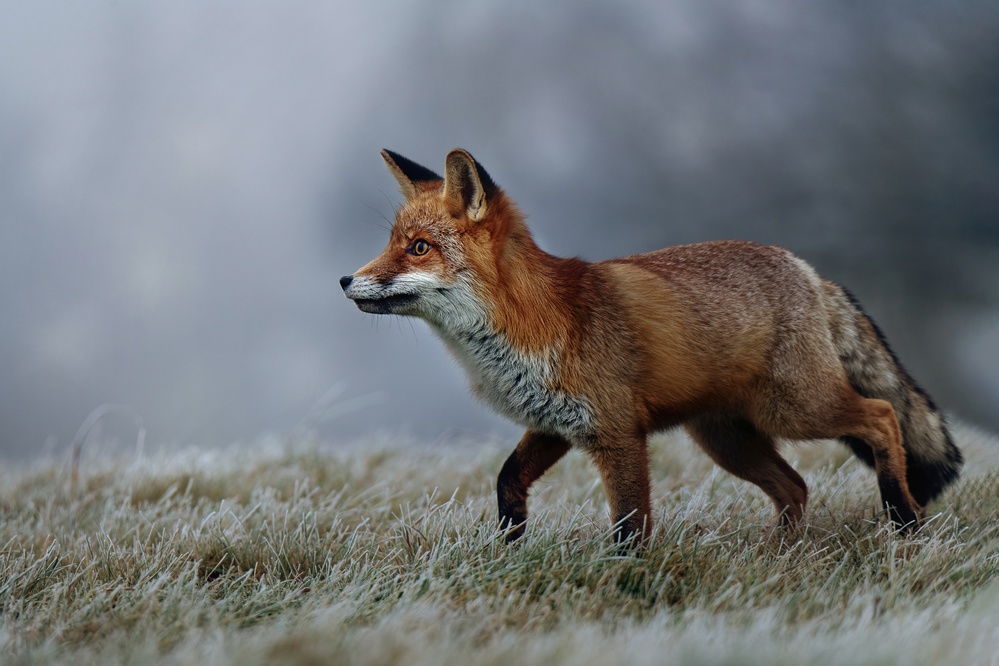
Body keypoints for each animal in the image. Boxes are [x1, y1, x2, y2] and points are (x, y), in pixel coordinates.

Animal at [340, 148, 963, 546]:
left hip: (795, 410)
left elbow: (629, 526)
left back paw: (903, 518)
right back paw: (780, 556)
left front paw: (625, 581)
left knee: (881, 417)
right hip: (728, 440)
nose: (346, 280)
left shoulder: (618, 433)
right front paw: (510, 545)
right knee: (796, 486)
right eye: (392, 242)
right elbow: (506, 480)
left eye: (419, 247)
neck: (532, 324)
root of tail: (809, 272)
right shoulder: (556, 424)